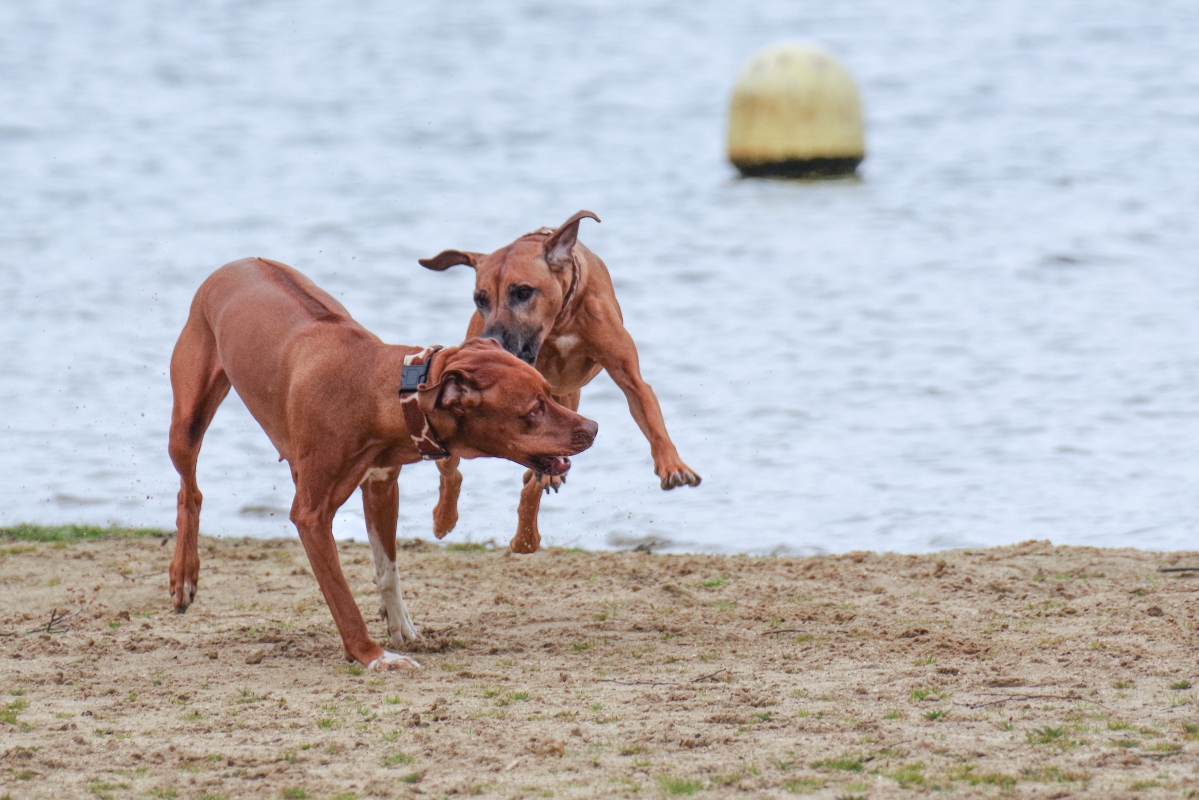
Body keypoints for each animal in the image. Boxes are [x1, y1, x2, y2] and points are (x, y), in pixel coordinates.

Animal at [166, 257, 597, 671]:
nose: (593, 428)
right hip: (187, 422)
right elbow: (341, 596)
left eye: (549, 392)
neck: (378, 390)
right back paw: (183, 575)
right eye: (534, 409)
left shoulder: (381, 485)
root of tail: (232, 264)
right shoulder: (311, 515)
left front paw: (400, 625)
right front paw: (372, 655)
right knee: (190, 491)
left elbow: (387, 568)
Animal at [422, 209, 700, 554]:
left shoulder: (629, 378)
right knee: (453, 471)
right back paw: (446, 519)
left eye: (522, 292)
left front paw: (673, 466)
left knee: (535, 474)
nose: (491, 340)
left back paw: (526, 535)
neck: (560, 322)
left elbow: (651, 417)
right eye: (480, 299)